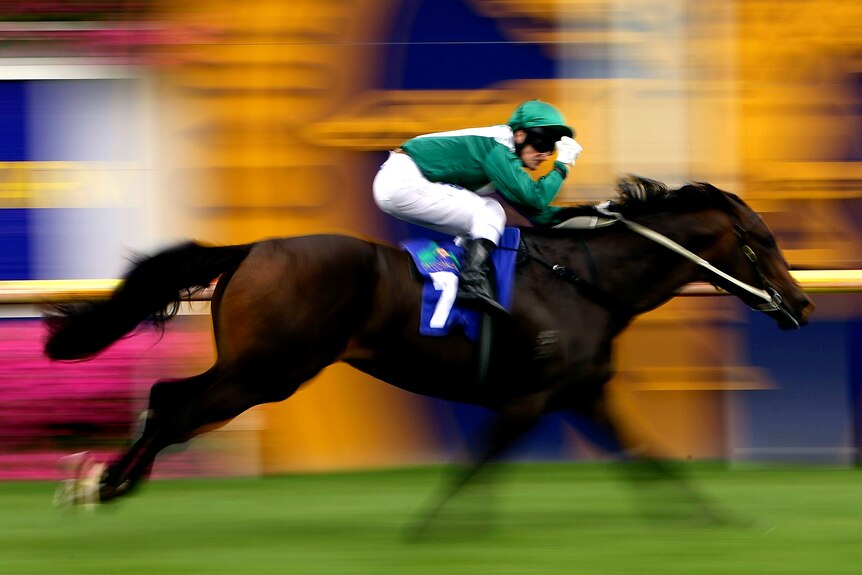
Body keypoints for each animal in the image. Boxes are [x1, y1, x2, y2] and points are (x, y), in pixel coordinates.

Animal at [45, 176, 816, 528]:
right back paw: (103, 485)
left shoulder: (582, 391)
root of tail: (252, 247)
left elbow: (645, 455)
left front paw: (713, 519)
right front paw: (434, 527)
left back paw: (107, 481)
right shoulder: (530, 397)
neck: (587, 280)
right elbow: (477, 461)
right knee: (177, 410)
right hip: (267, 371)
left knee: (165, 398)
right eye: (763, 240)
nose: (802, 304)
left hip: (251, 366)